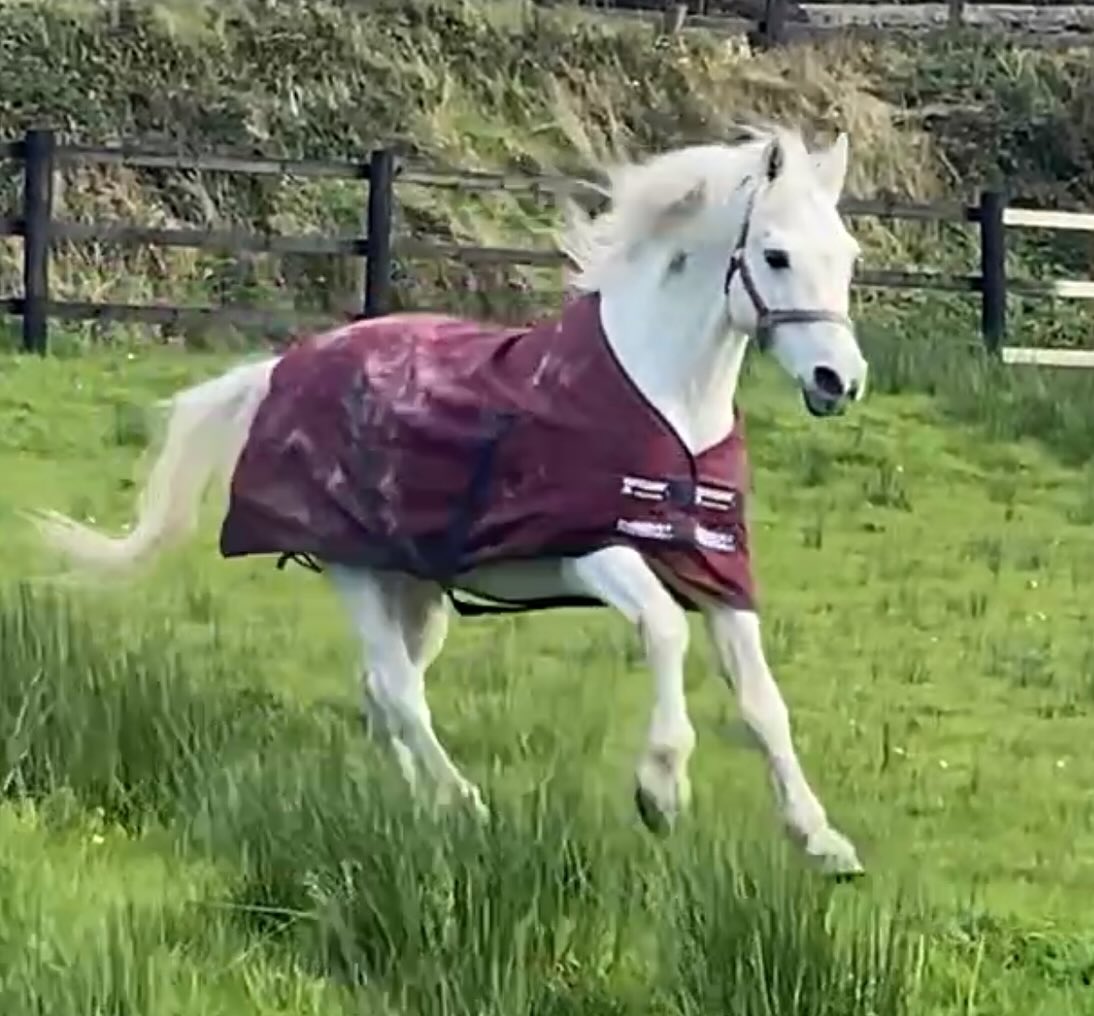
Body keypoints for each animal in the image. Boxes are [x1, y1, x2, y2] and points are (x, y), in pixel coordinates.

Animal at [31, 124, 868, 877]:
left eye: (849, 256)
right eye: (776, 255)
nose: (840, 380)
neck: (665, 402)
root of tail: (284, 366)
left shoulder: (716, 572)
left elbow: (762, 702)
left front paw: (822, 841)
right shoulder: (594, 551)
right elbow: (664, 631)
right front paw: (661, 790)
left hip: (414, 587)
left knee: (384, 694)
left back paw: (417, 806)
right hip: (355, 570)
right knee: (398, 690)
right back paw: (461, 802)